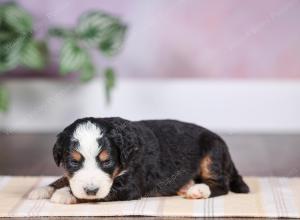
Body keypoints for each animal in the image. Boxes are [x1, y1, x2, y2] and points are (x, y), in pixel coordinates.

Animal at [28, 117, 248, 204]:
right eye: (74, 162)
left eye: (107, 161)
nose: (91, 190)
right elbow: (63, 179)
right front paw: (43, 189)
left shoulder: (130, 185)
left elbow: (99, 194)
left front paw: (65, 195)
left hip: (212, 154)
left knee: (221, 185)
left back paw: (198, 190)